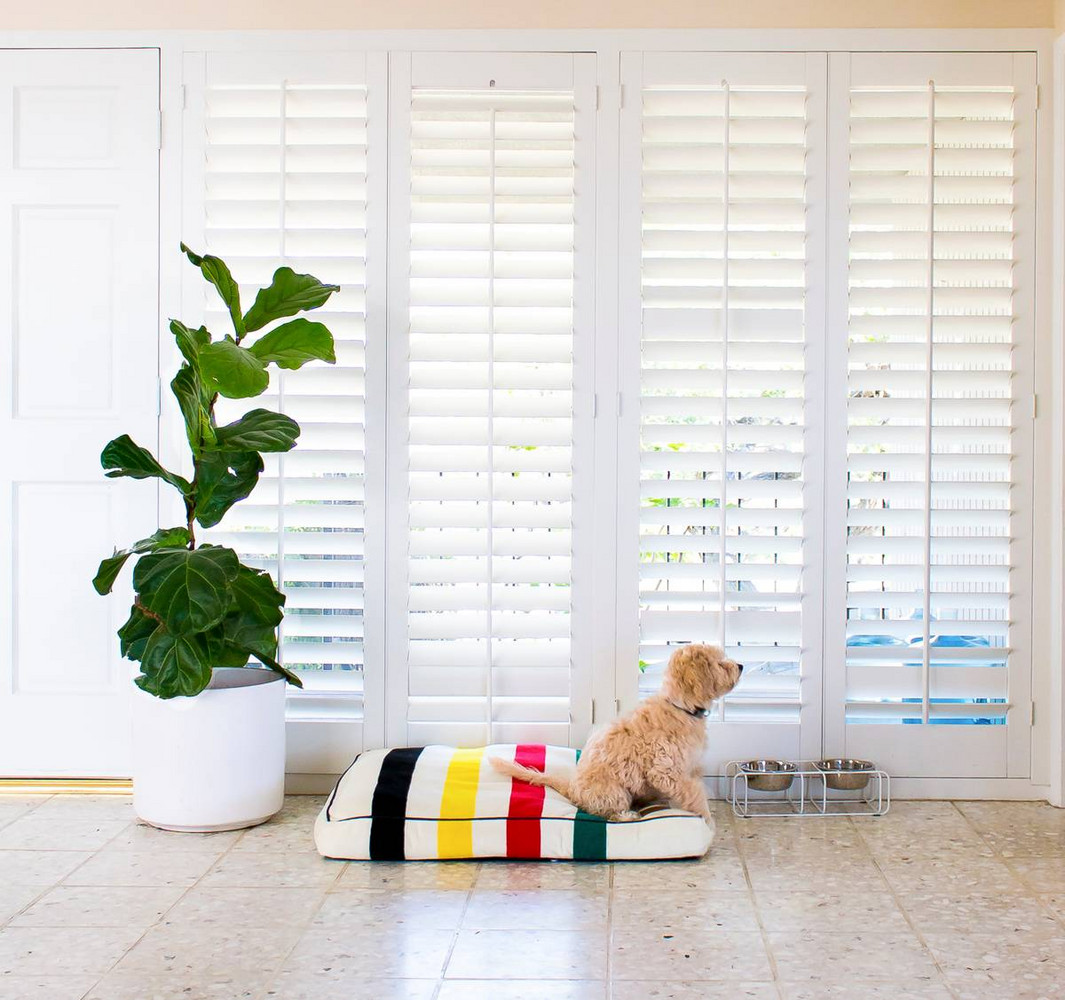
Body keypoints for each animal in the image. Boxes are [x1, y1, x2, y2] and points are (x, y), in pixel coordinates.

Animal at [487, 643, 741, 826]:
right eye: (720, 663)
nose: (740, 665)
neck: (680, 706)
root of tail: (571, 788)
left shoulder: (690, 765)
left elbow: (696, 787)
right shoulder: (666, 770)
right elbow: (694, 792)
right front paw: (706, 818)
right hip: (614, 791)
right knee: (606, 813)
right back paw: (628, 816)